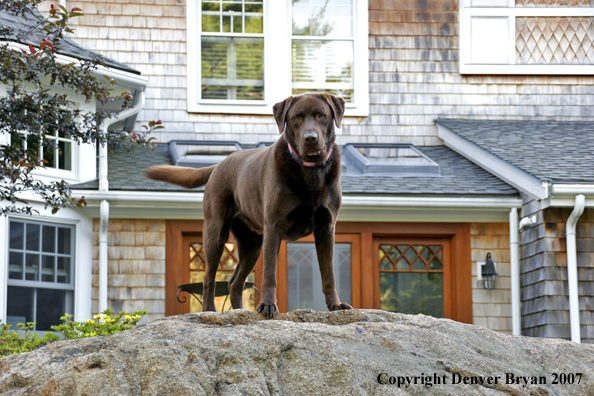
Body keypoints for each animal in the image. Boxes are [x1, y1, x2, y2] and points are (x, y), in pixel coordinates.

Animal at [146, 91, 352, 318]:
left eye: (321, 115)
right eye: (297, 117)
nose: (310, 138)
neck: (310, 171)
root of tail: (218, 165)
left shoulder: (326, 228)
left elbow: (329, 274)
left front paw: (336, 305)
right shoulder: (274, 227)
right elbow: (270, 273)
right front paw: (268, 305)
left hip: (251, 243)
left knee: (235, 283)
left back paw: (239, 312)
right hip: (216, 232)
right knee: (209, 279)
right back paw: (209, 311)